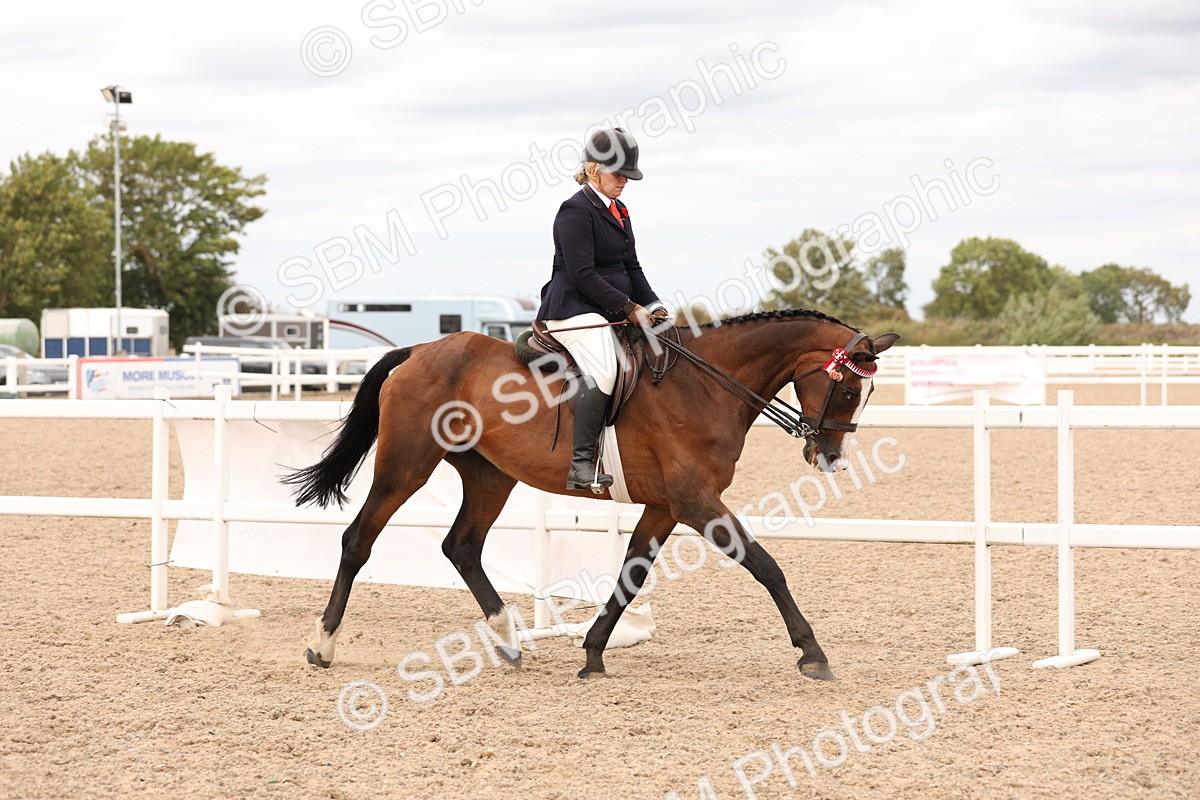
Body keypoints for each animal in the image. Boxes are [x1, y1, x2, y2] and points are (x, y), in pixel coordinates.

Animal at [285, 309, 899, 681]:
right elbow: (767, 566)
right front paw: (812, 653)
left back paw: (509, 640)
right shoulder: (696, 502)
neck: (707, 385)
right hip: (406, 466)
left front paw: (594, 652)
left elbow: (631, 574)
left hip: (489, 476)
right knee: (358, 540)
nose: (832, 457)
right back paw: (322, 645)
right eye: (849, 388)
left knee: (461, 546)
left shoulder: (666, 506)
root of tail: (417, 351)